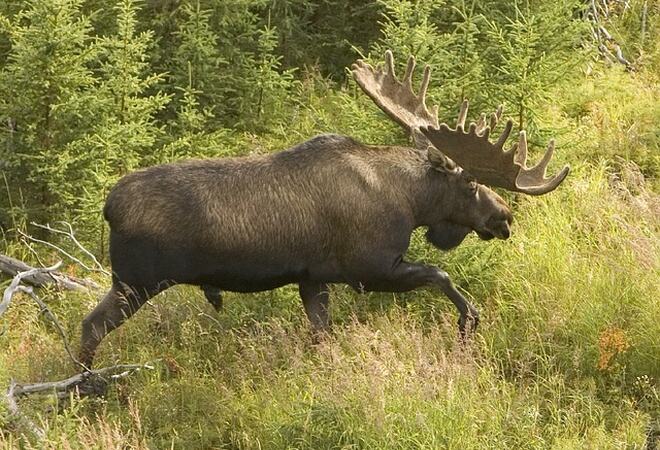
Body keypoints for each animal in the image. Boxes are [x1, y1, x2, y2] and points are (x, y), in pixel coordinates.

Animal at [80, 52, 568, 368]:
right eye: (470, 183)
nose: (504, 217)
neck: (410, 202)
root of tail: (108, 207)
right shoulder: (369, 267)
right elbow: (441, 274)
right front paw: (469, 324)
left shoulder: (313, 278)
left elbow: (321, 335)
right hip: (136, 281)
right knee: (90, 327)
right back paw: (87, 391)